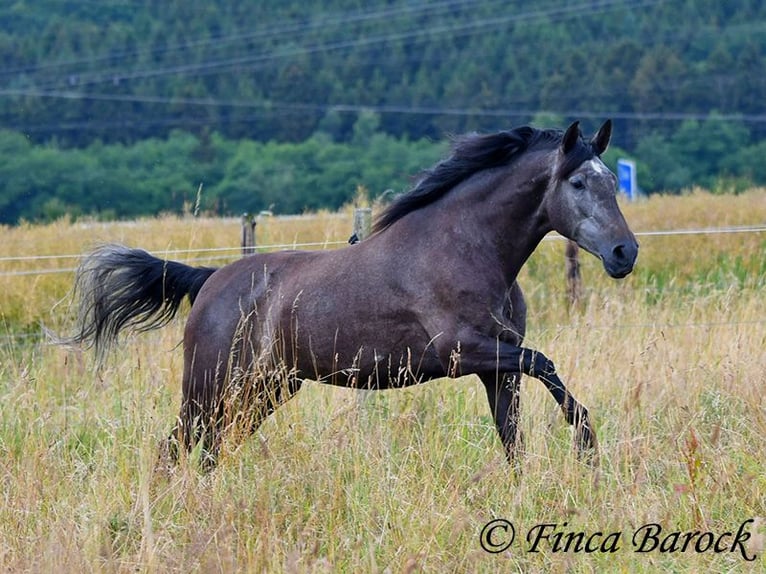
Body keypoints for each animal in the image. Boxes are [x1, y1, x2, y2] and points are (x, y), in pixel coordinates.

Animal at [67, 120, 640, 468]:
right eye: (578, 184)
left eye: (613, 181)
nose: (624, 252)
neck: (466, 246)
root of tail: (208, 280)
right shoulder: (464, 351)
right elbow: (546, 364)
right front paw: (586, 441)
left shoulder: (497, 368)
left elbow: (513, 438)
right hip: (209, 388)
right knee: (176, 449)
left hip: (265, 390)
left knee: (209, 451)